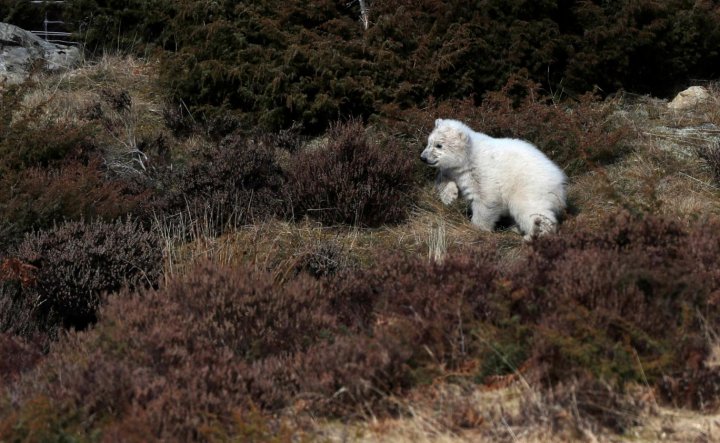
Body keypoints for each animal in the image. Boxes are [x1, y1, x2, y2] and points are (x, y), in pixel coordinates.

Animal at [420, 119, 566, 240]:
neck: (469, 156)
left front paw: (477, 228)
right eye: (429, 142)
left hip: (530, 187)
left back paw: (534, 235)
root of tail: (559, 182)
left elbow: (486, 199)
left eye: (439, 145)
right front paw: (450, 196)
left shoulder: (482, 172)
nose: (423, 158)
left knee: (531, 210)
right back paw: (515, 228)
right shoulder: (455, 171)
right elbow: (443, 178)